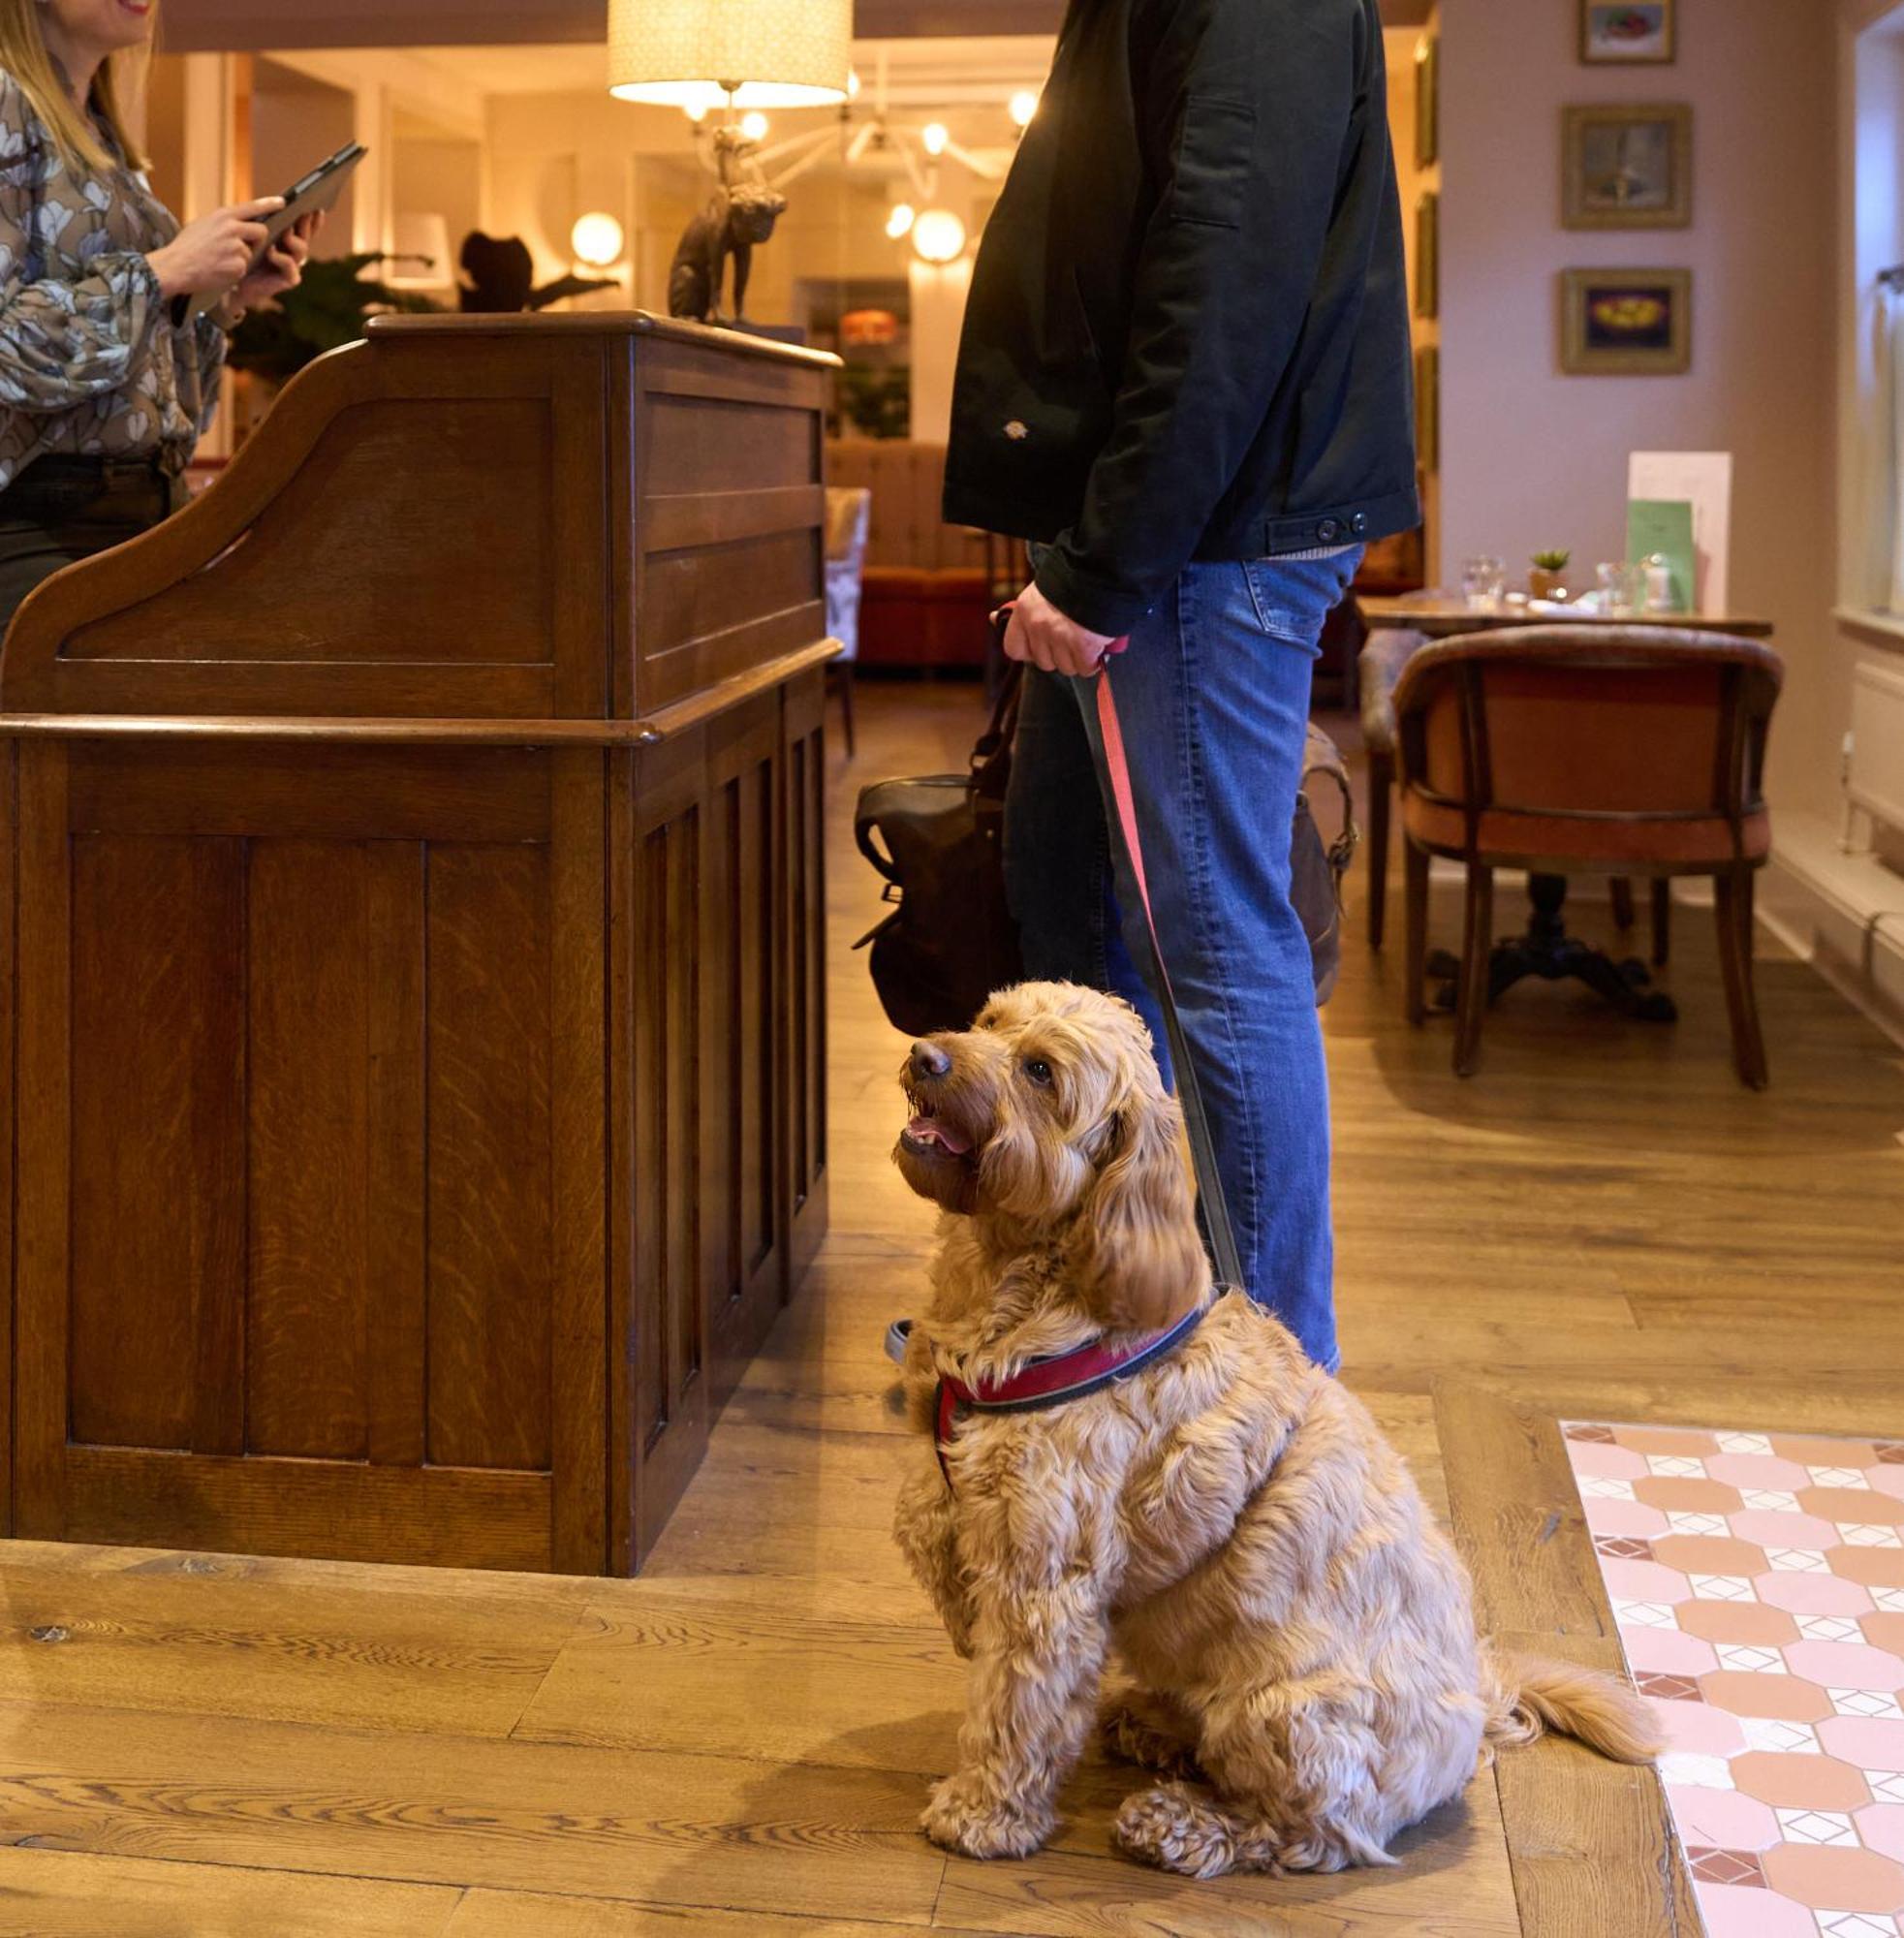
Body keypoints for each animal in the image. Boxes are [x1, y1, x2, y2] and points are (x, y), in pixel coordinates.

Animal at [895, 985, 1651, 1876]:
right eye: (987, 1022)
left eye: (1041, 1071)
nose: (923, 1055)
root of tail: (1477, 1709)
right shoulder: (960, 1494)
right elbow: (926, 1524)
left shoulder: (1044, 1576)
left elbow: (1014, 1708)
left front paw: (982, 1815)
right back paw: (1155, 1726)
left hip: (1284, 1715)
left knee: (1308, 1832)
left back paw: (1180, 1823)